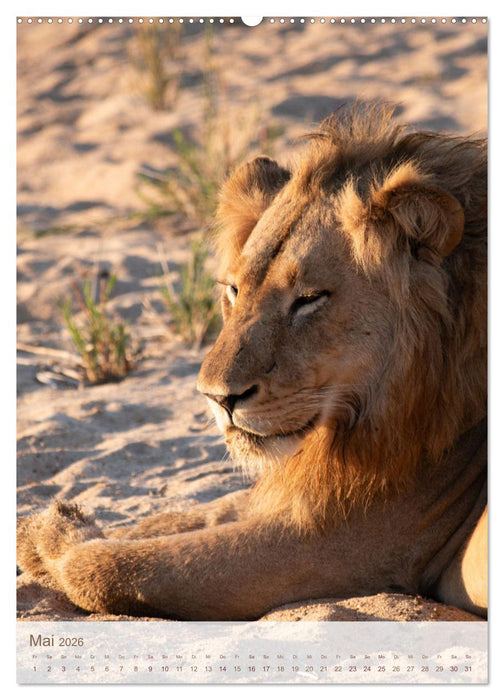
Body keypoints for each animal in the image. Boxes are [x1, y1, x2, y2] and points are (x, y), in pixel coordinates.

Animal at [17, 103, 487, 620]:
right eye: (234, 289)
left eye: (309, 299)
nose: (217, 398)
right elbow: (188, 514)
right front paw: (42, 529)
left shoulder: (334, 542)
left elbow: (109, 568)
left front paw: (55, 537)